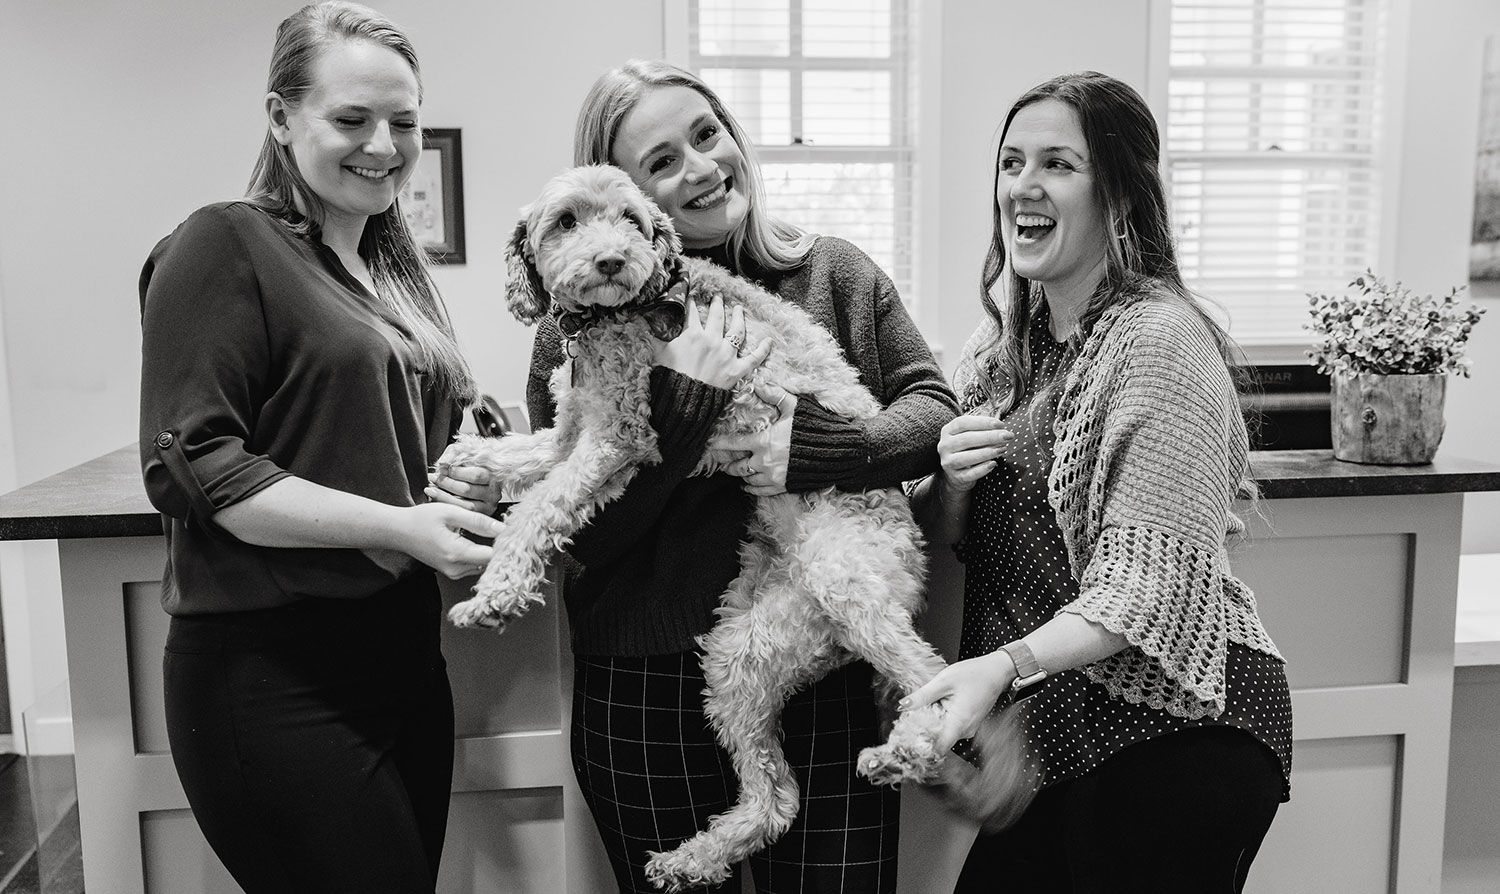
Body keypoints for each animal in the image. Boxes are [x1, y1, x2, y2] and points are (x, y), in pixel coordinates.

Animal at [438, 164, 942, 888]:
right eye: (566, 221)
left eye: (629, 218)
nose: (612, 261)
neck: (611, 317)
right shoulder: (574, 433)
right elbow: (526, 462)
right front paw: (467, 462)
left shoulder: (619, 438)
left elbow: (537, 508)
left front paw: (497, 593)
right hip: (744, 650)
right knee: (777, 798)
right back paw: (690, 857)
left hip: (843, 579)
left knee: (932, 674)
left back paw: (905, 751)